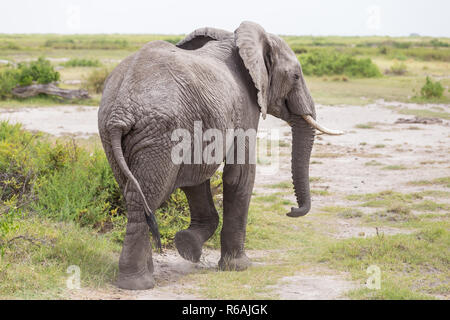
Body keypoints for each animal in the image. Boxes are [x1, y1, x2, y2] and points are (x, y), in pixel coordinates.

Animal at [97, 20, 342, 290]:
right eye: (296, 76)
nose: (291, 210)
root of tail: (120, 112)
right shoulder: (245, 106)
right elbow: (240, 174)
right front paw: (239, 267)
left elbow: (195, 175)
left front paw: (188, 246)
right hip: (159, 133)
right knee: (147, 194)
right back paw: (138, 283)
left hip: (115, 133)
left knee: (133, 192)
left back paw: (141, 276)